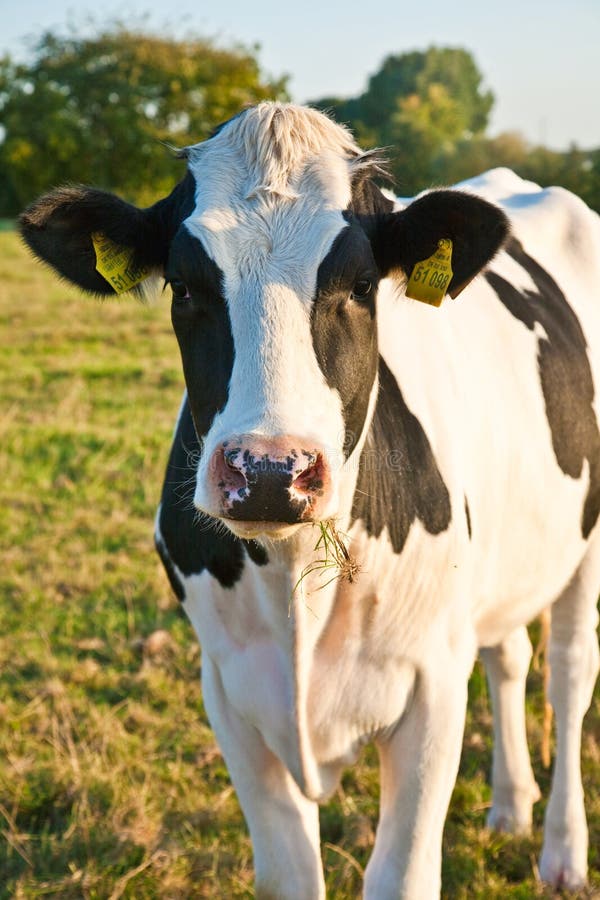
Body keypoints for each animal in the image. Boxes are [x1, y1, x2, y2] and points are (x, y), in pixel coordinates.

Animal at [19, 102, 600, 896]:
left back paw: (562, 852)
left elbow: (402, 875)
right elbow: (291, 874)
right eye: (184, 286)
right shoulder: (230, 691)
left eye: (361, 285)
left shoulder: (432, 687)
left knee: (569, 672)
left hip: (585, 542)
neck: (295, 582)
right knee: (508, 651)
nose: (269, 470)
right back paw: (510, 808)